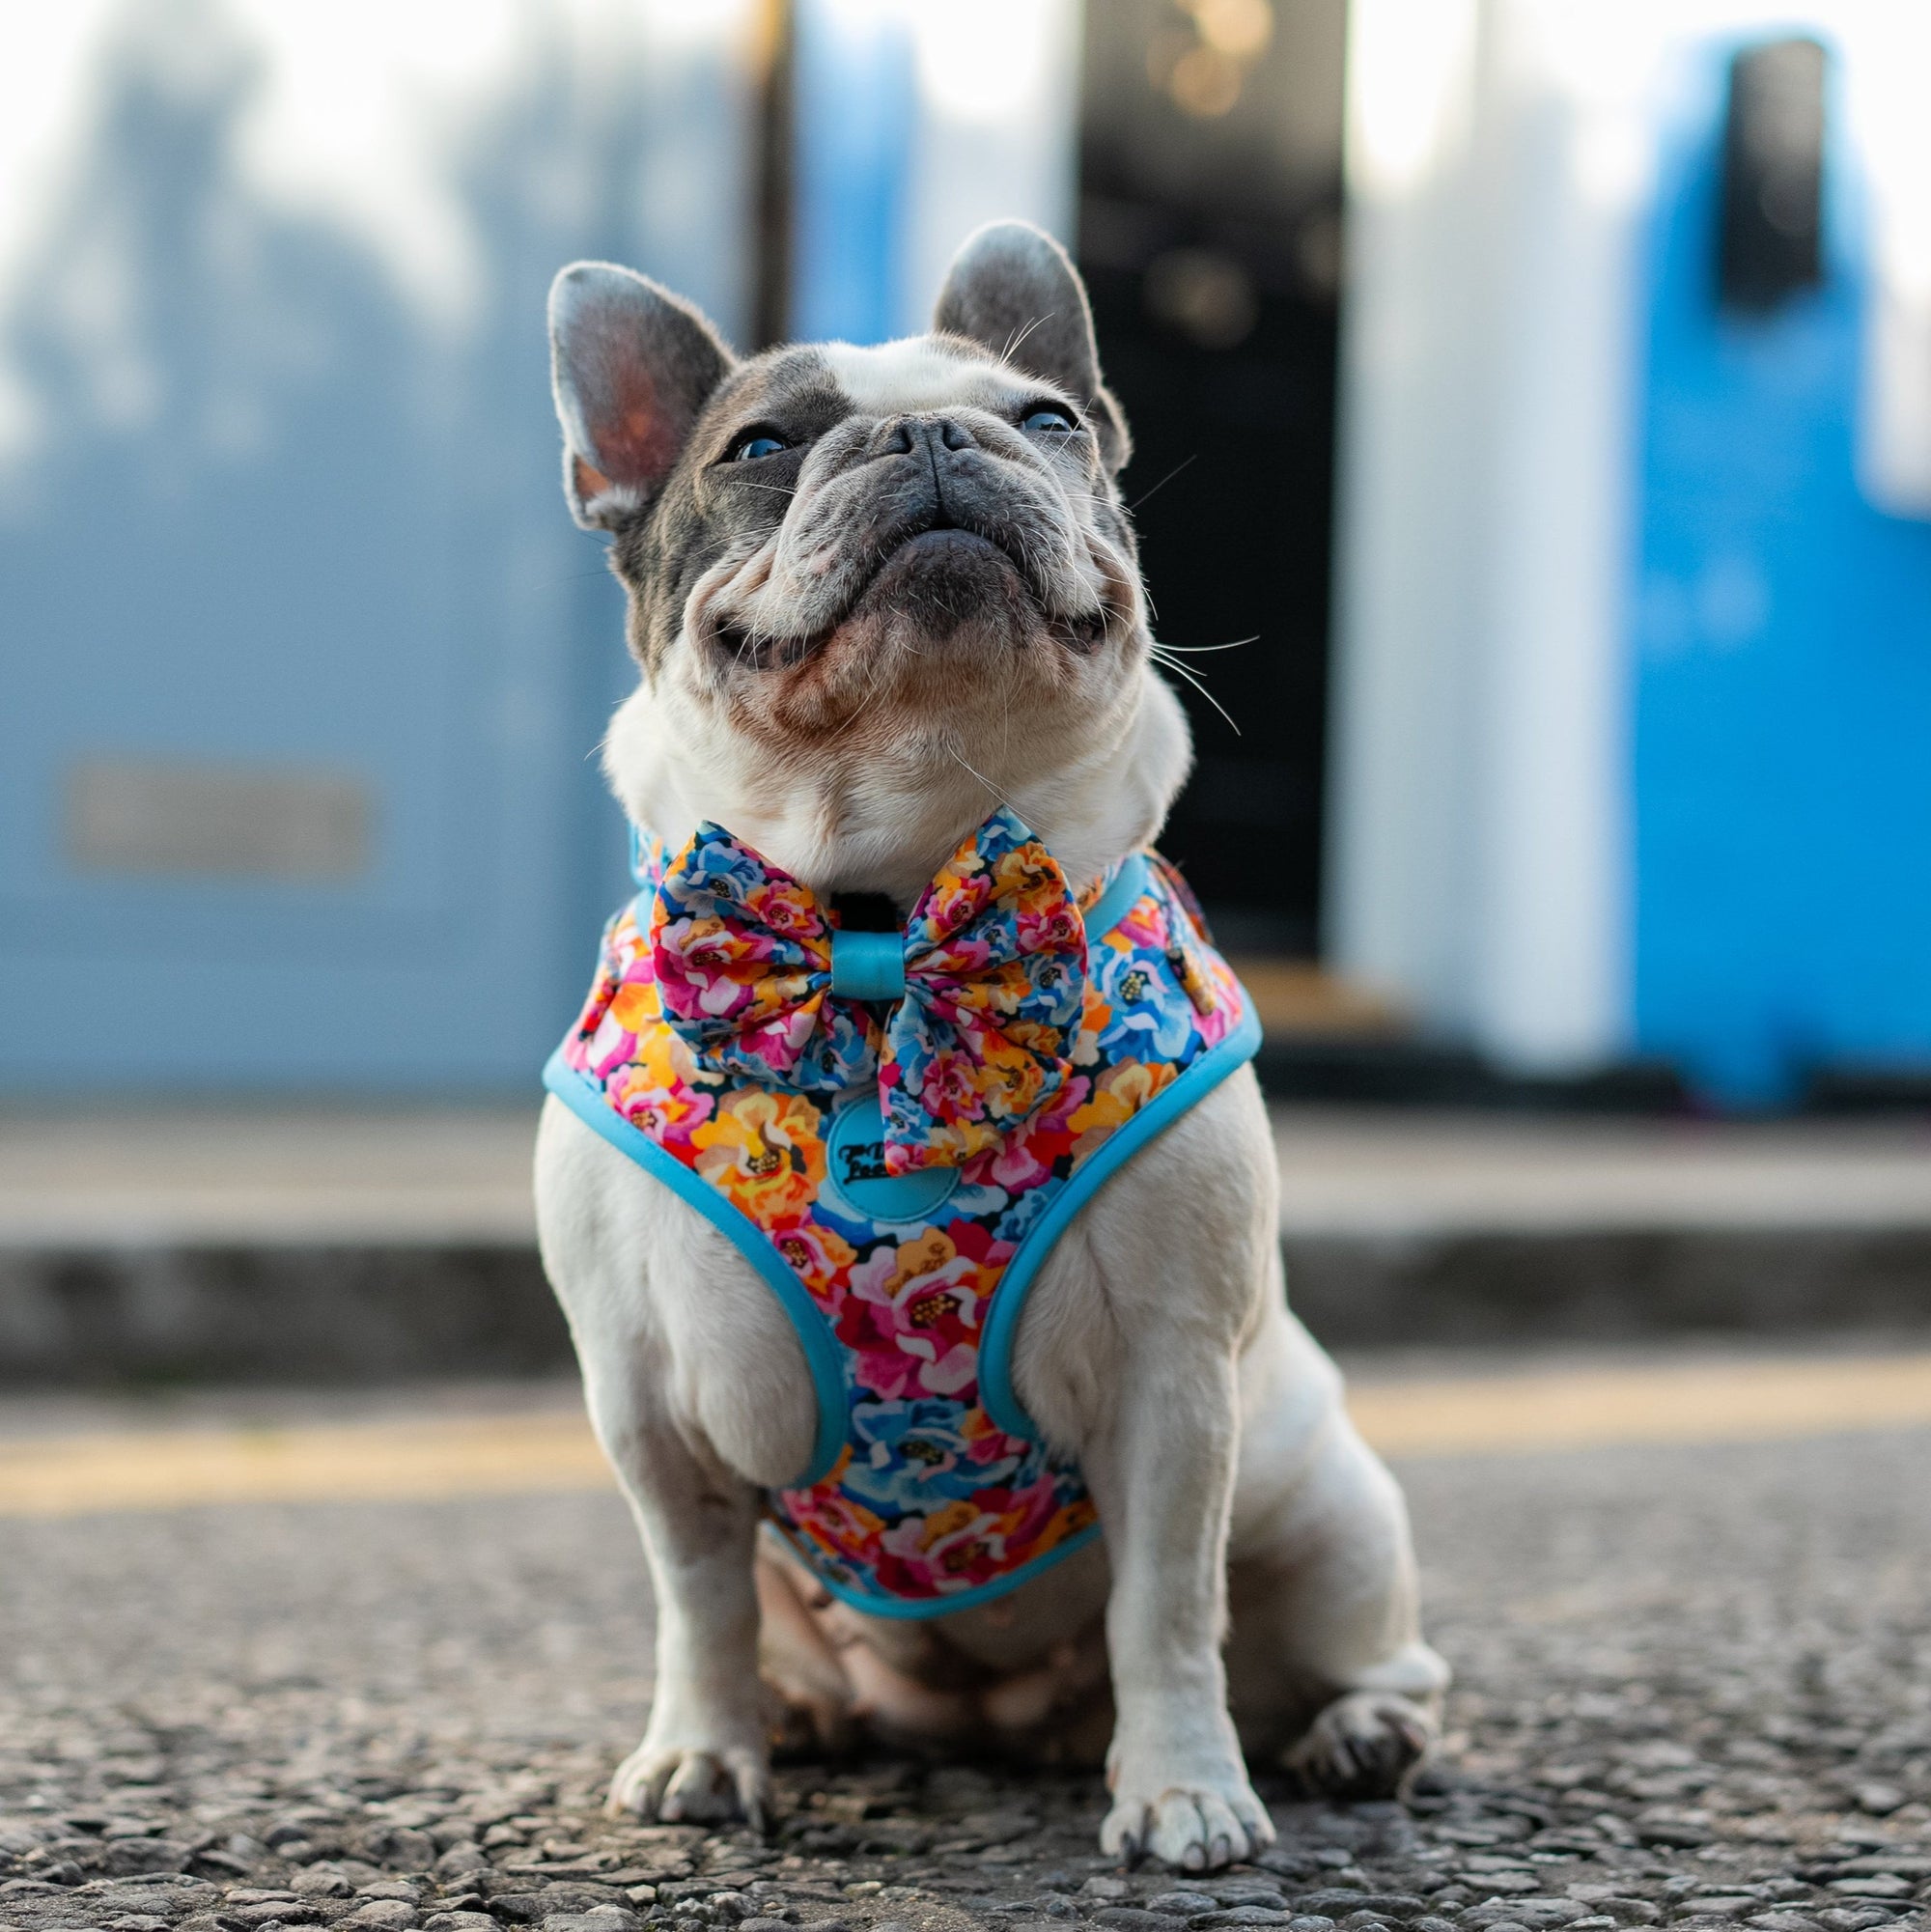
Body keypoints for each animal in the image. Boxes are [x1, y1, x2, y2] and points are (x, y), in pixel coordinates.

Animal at [533, 222, 1452, 1869]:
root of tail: (1001, 1719)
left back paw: (1358, 1734)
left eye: (1046, 419)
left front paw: (1184, 1791)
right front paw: (704, 1751)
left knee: (1356, 1643)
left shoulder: (1175, 1388)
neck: (886, 920)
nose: (933, 435)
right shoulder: (649, 1404)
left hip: (1323, 1501)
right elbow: (697, 1600)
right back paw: (806, 1715)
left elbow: (1169, 1607)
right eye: (761, 445)